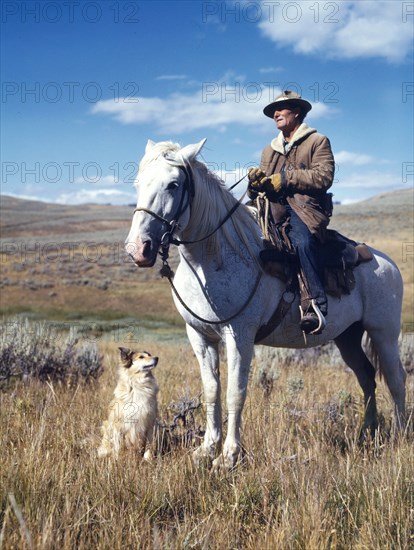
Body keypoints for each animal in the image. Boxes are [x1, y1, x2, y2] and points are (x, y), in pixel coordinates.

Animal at [124, 138, 406, 470]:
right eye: (138, 183)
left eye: (173, 184)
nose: (138, 249)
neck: (215, 258)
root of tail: (385, 262)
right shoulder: (200, 336)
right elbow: (211, 390)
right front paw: (206, 449)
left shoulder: (239, 336)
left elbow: (235, 392)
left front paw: (228, 456)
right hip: (347, 336)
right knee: (366, 377)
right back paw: (366, 433)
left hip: (383, 332)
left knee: (396, 379)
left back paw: (399, 436)